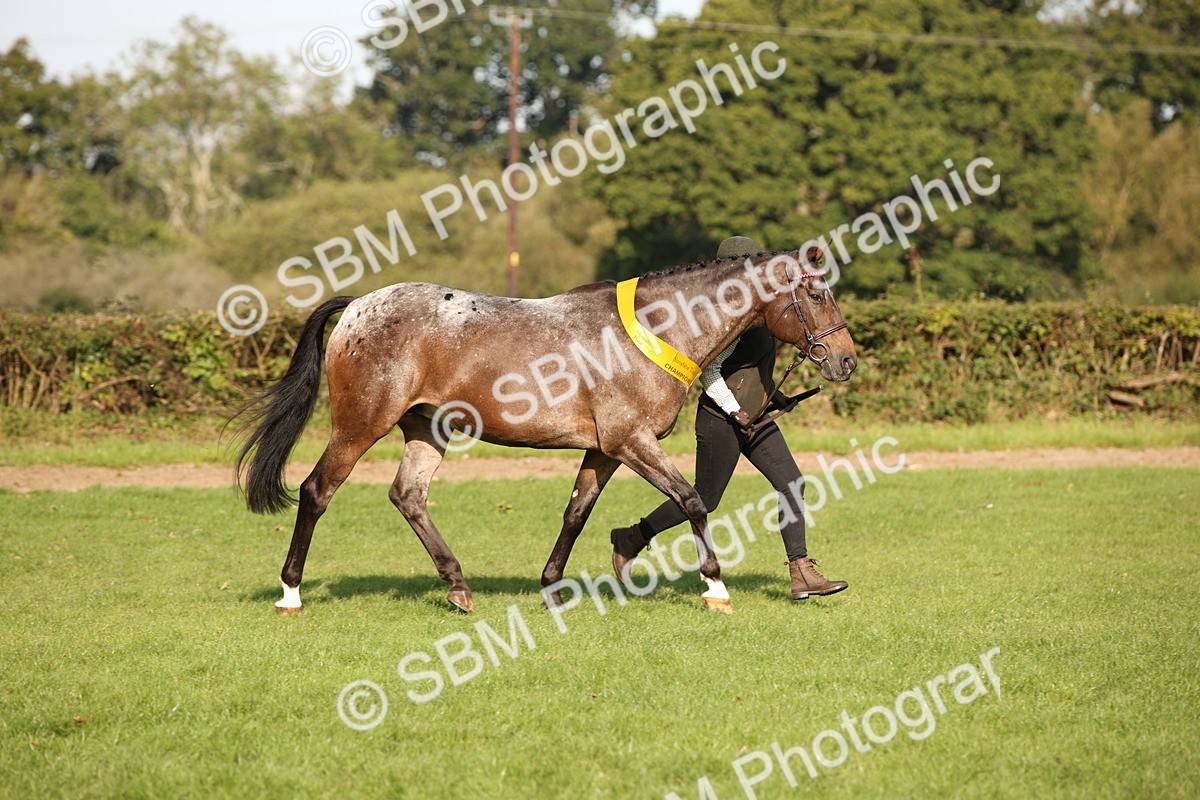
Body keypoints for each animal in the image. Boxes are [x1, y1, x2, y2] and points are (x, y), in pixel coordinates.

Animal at [234, 248, 856, 614]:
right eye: (816, 293)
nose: (845, 360)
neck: (655, 329)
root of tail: (359, 305)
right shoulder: (632, 442)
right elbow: (693, 499)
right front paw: (716, 587)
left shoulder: (605, 450)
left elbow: (576, 513)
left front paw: (554, 587)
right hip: (362, 424)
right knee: (317, 491)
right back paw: (290, 592)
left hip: (427, 430)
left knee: (407, 495)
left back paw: (458, 587)